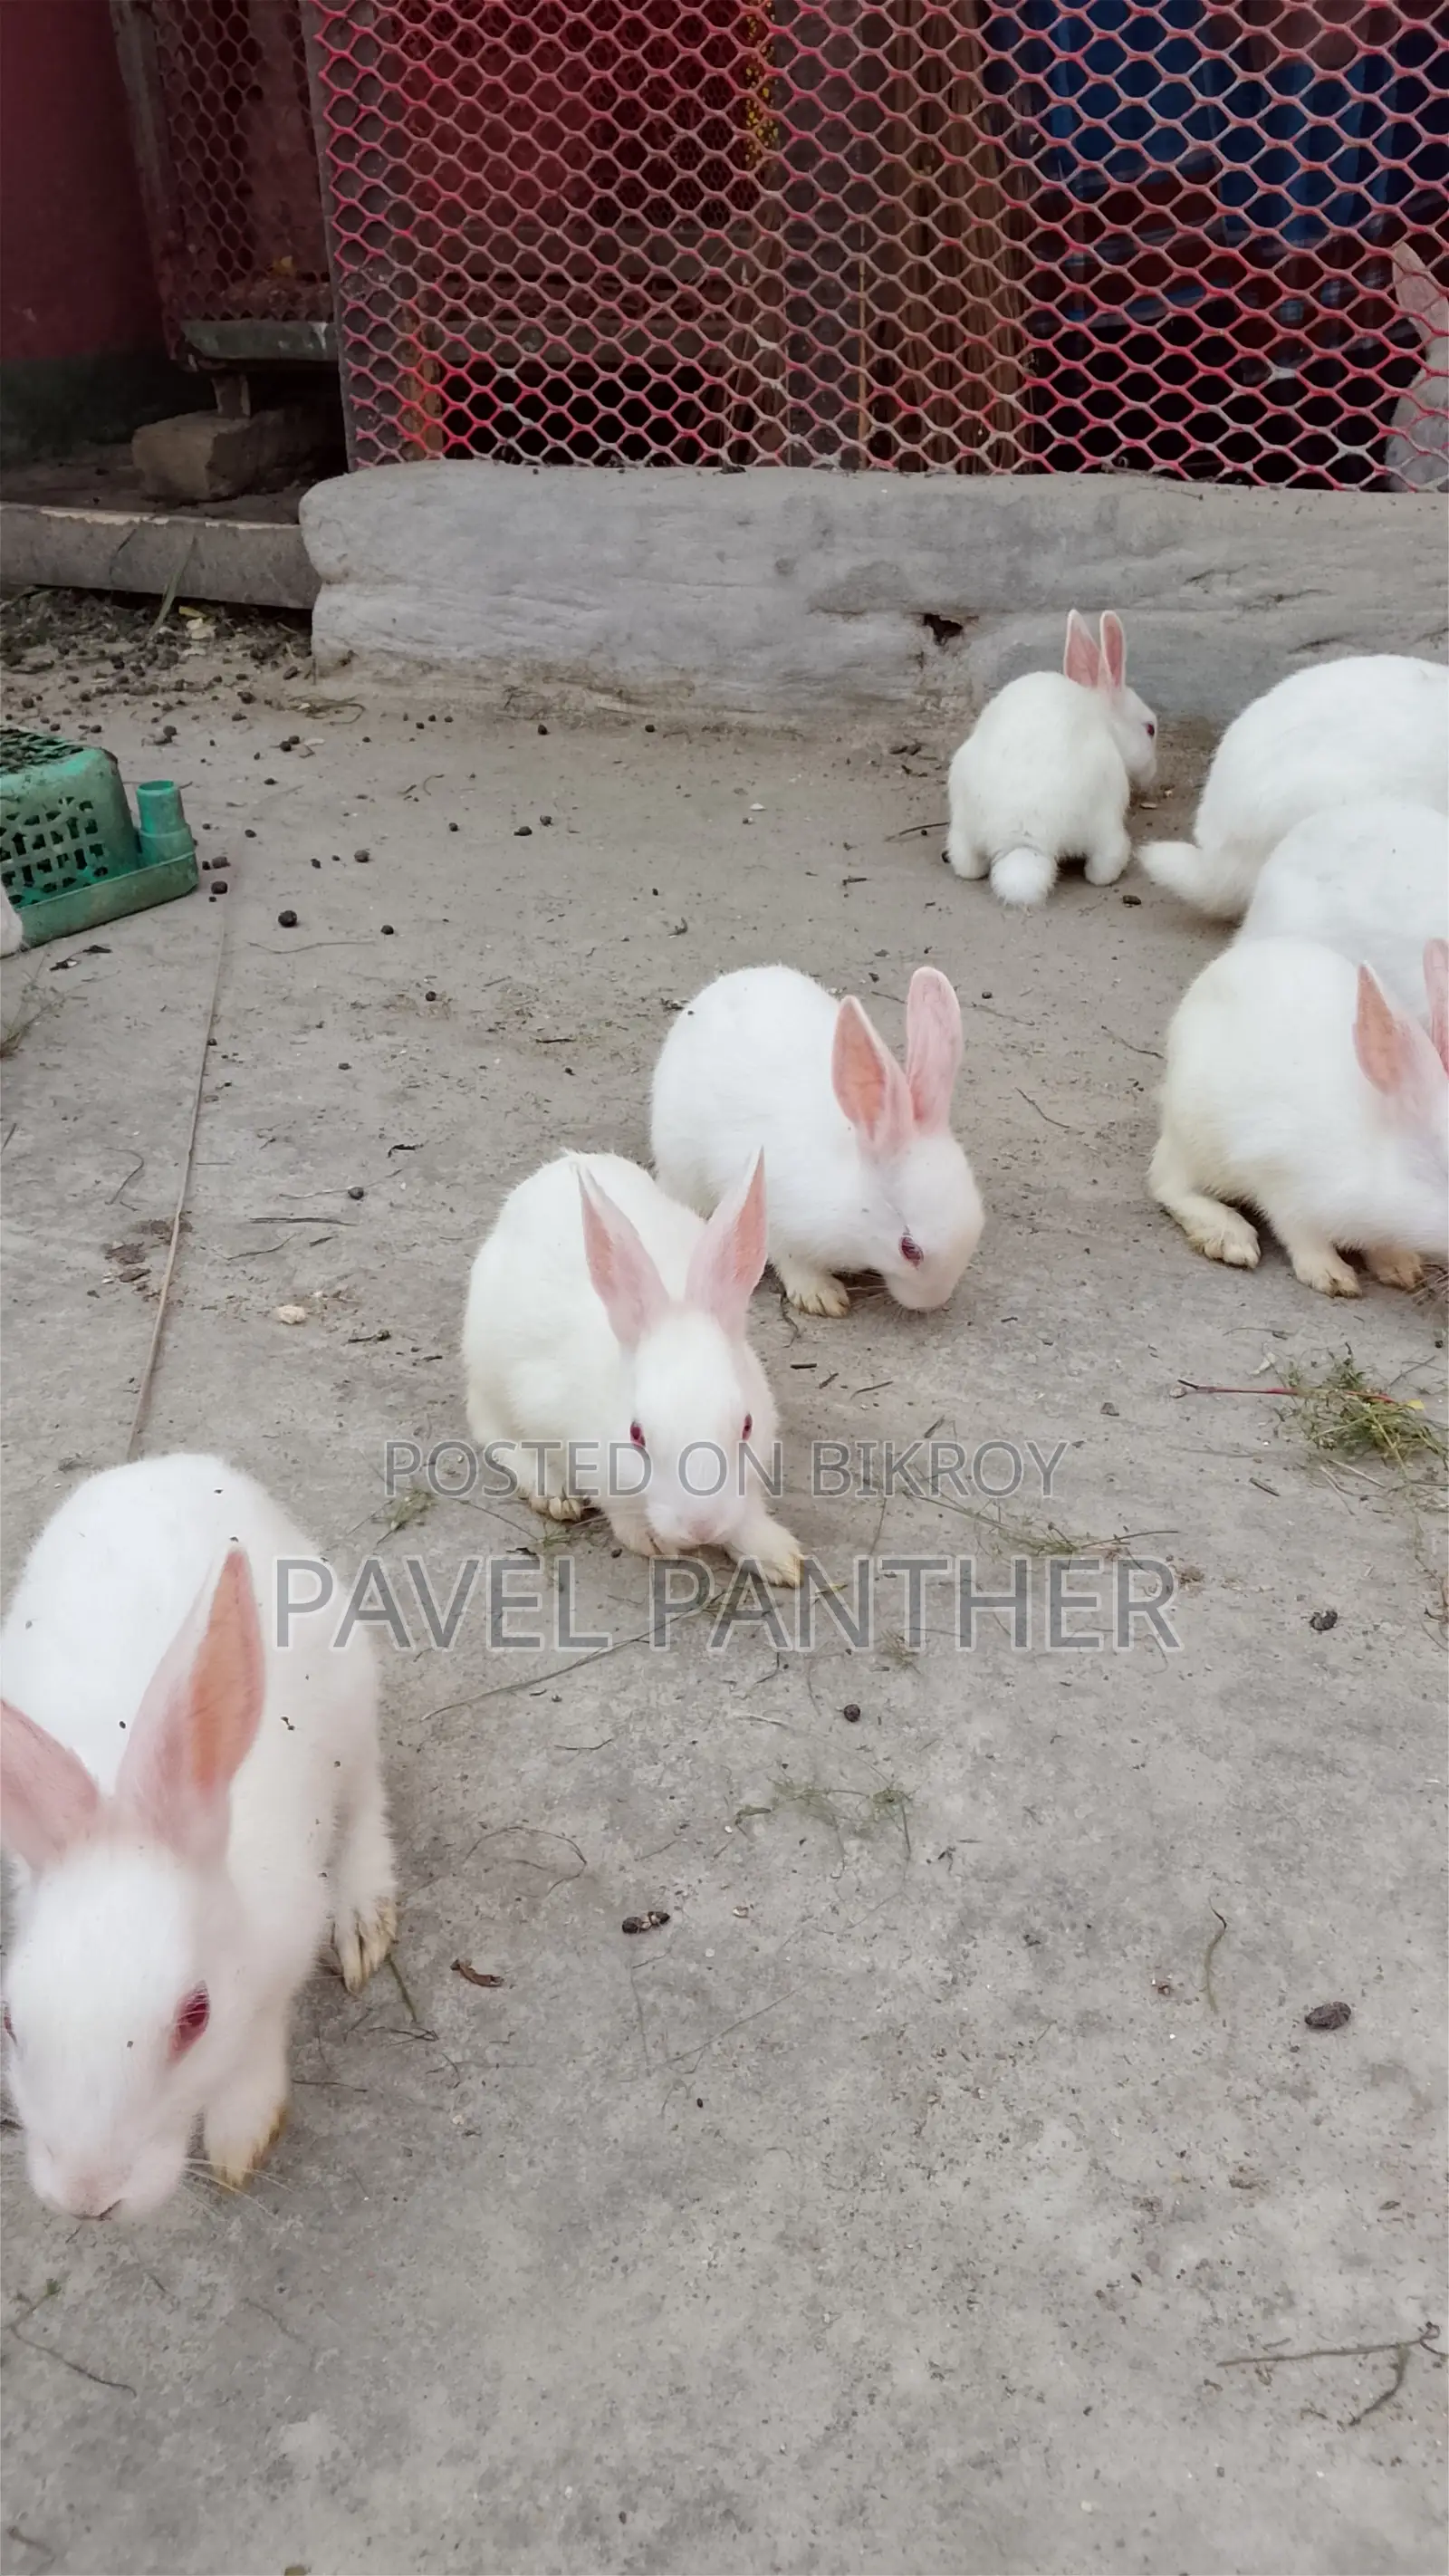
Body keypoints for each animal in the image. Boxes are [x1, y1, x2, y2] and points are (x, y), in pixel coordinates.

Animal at [0, 1453, 397, 2218]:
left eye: (196, 2016)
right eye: (8, 2020)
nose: (88, 2199)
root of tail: (165, 1463)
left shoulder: (283, 1948)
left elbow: (259, 2038)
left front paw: (241, 2137)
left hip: (354, 1696)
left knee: (366, 1800)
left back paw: (364, 1914)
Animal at [462, 1149, 803, 1586]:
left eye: (747, 1426)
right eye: (635, 1434)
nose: (701, 1526)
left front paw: (779, 1557)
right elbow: (615, 1503)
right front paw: (652, 1540)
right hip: (488, 1371)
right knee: (491, 1429)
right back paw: (553, 1492)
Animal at [945, 609, 1158, 908]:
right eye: (1150, 729)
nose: (1152, 773)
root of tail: (1023, 841)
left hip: (962, 820)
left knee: (966, 865)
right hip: (1105, 819)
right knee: (1103, 868)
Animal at [1149, 934, 1449, 1297]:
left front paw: (1400, 1267)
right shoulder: (1284, 1183)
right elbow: (1301, 1234)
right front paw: (1332, 1276)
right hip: (1196, 1137)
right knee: (1168, 1184)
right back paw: (1230, 1237)